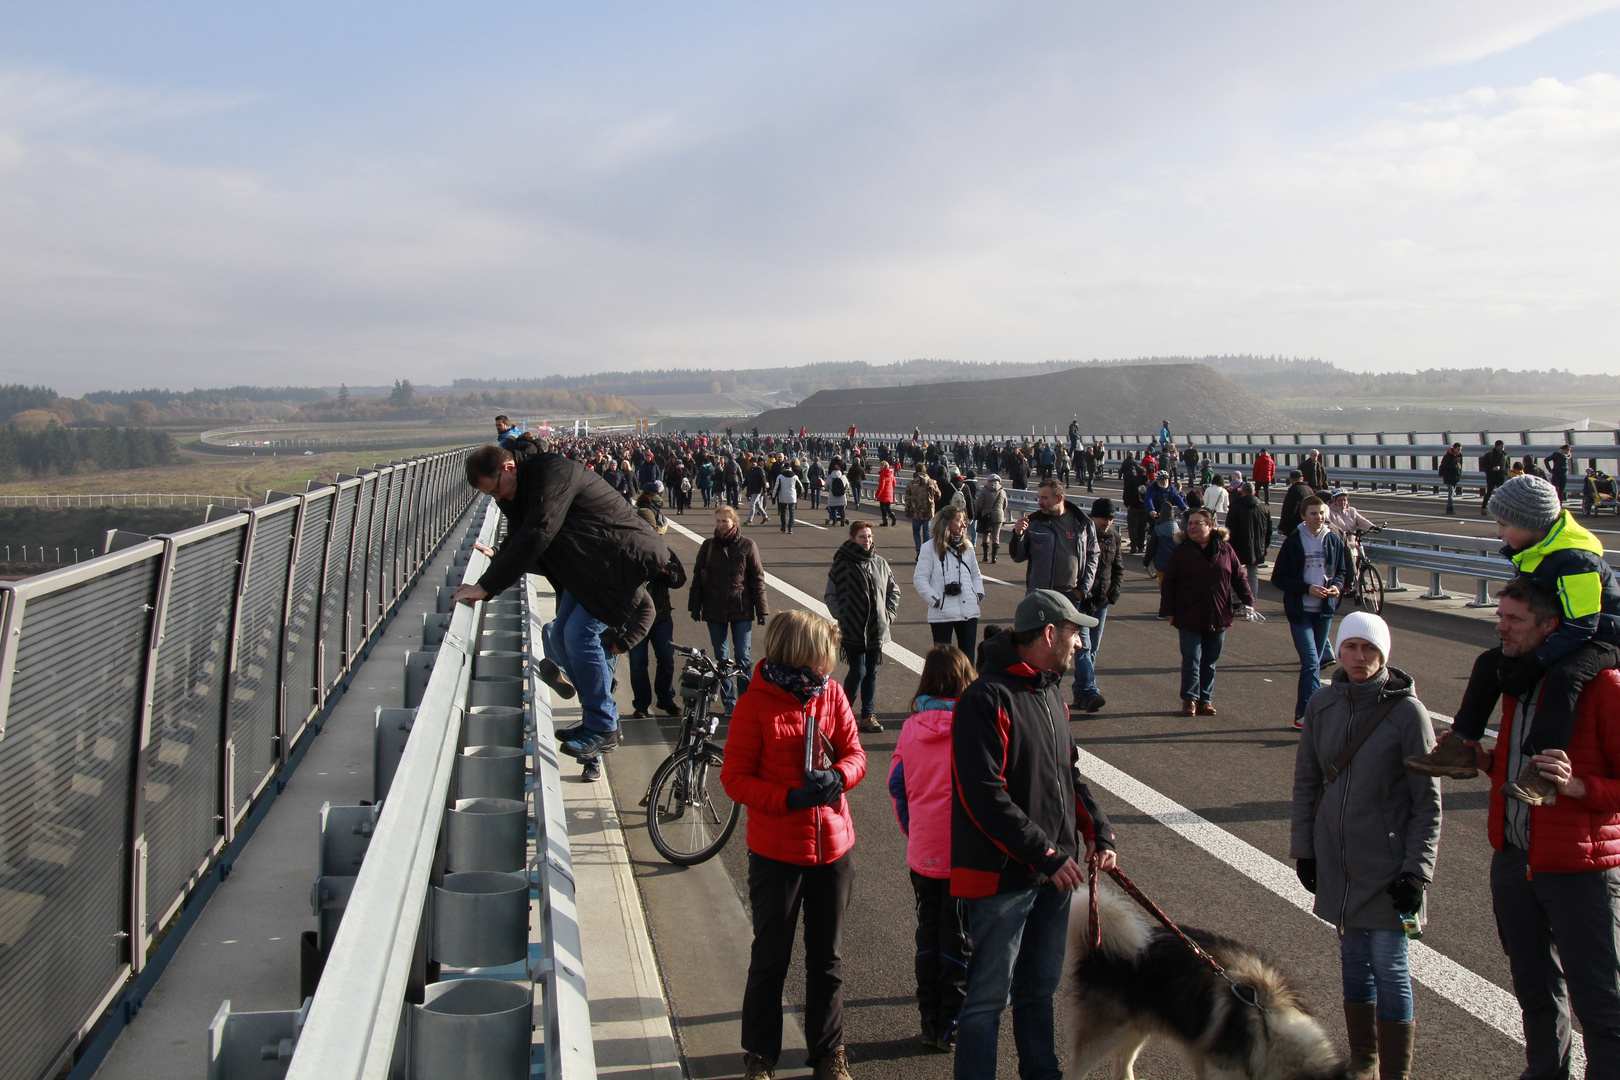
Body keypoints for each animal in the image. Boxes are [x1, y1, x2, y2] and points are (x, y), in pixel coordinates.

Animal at [1056, 880, 1347, 1080]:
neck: (1267, 1026)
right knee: (1080, 1068)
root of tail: (1099, 947)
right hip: (1106, 1031)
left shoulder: (1205, 1057)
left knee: (1122, 1064)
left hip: (1139, 1024)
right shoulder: (1222, 1067)